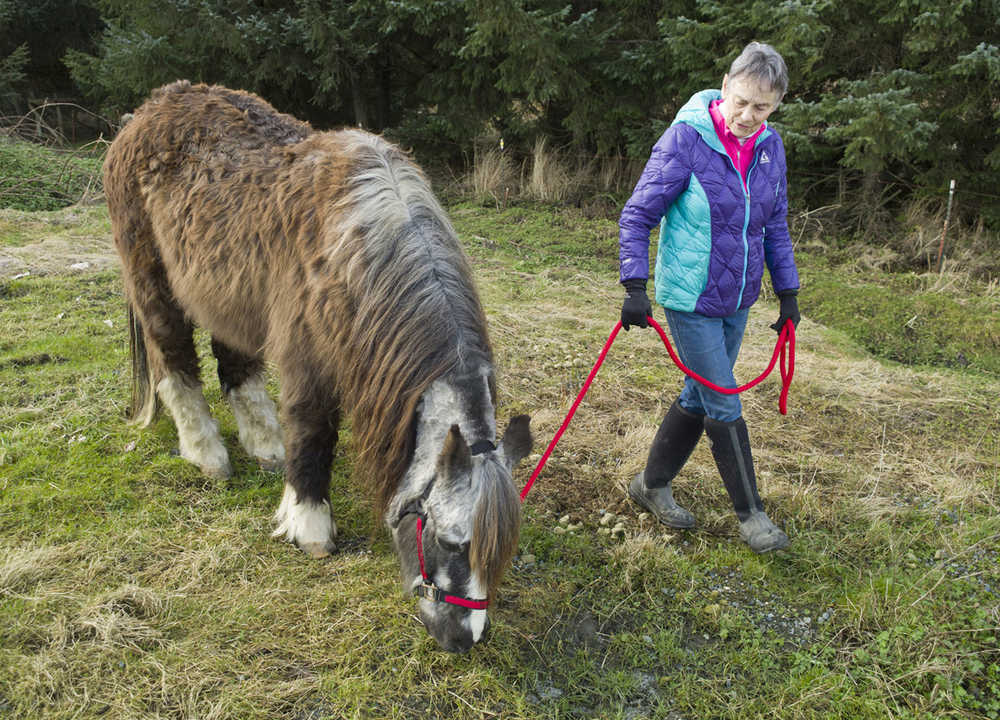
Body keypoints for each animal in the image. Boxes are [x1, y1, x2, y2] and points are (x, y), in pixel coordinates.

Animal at [103, 80, 532, 652]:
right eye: (450, 542)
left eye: (501, 552)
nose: (465, 639)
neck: (361, 250)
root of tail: (146, 111)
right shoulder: (309, 363)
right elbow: (314, 433)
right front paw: (308, 525)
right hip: (154, 282)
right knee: (174, 362)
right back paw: (207, 453)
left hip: (227, 292)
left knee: (234, 362)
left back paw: (265, 447)